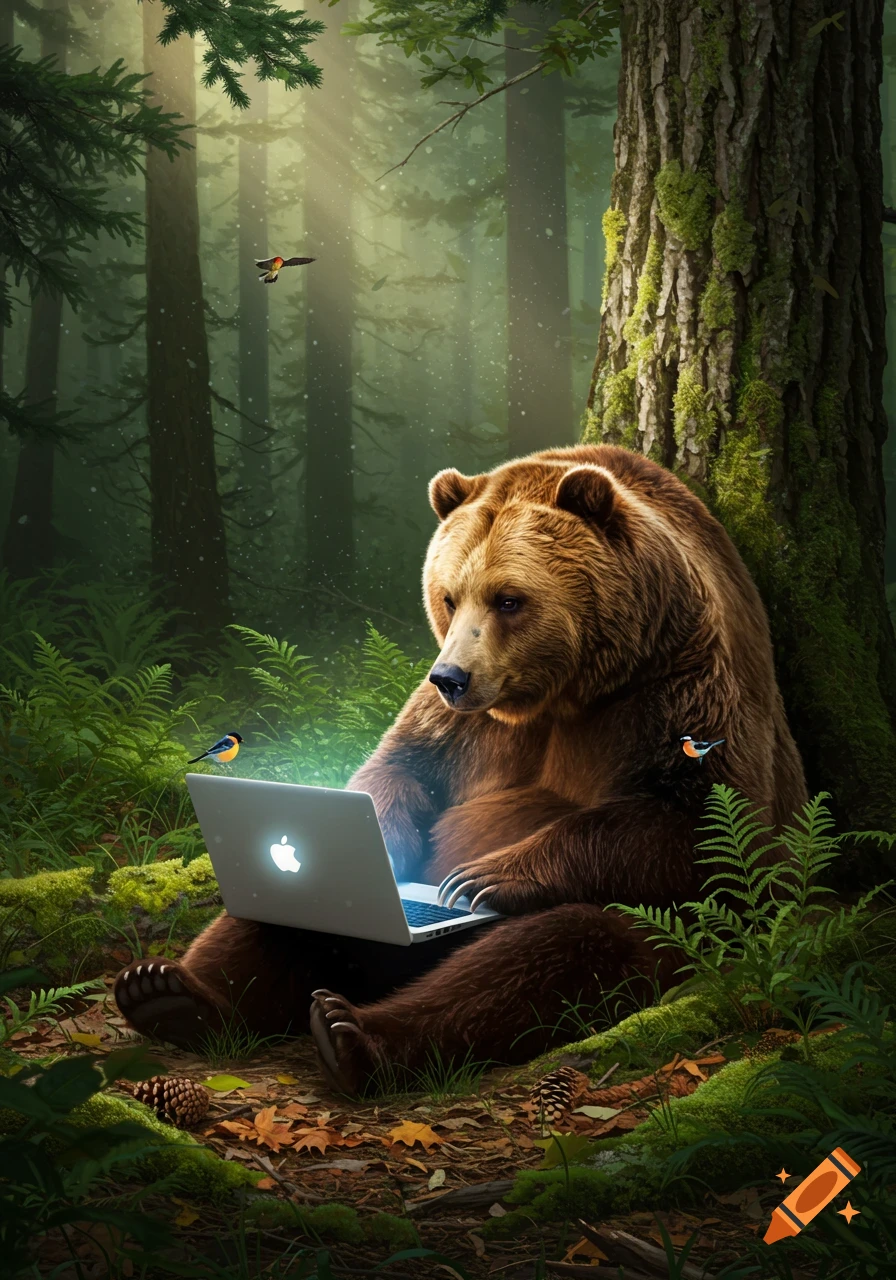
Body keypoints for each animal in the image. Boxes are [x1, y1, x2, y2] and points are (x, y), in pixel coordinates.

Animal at [114, 444, 807, 1094]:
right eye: (449, 595)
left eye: (509, 598)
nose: (451, 676)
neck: (569, 691)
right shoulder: (465, 728)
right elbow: (401, 768)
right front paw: (389, 846)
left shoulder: (678, 684)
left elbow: (709, 825)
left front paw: (482, 876)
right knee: (266, 916)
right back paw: (169, 993)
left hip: (666, 934)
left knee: (553, 951)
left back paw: (352, 1033)